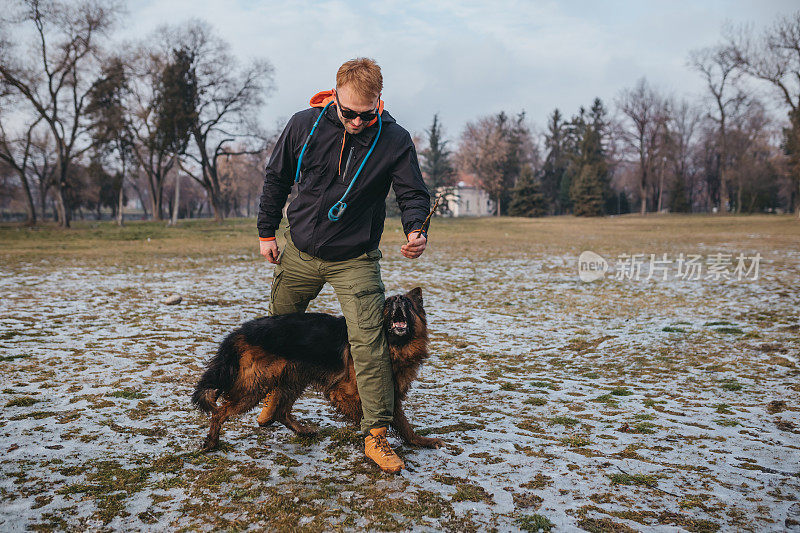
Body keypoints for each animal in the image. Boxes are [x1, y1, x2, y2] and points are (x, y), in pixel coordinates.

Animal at [193, 286, 444, 448]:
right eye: (389, 302)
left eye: (407, 303)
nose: (400, 298)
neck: (392, 346)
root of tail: (239, 332)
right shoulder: (343, 393)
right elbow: (374, 418)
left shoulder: (390, 392)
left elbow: (403, 423)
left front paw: (419, 442)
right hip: (255, 386)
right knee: (220, 412)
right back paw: (212, 442)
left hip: (293, 378)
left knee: (279, 412)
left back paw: (302, 431)